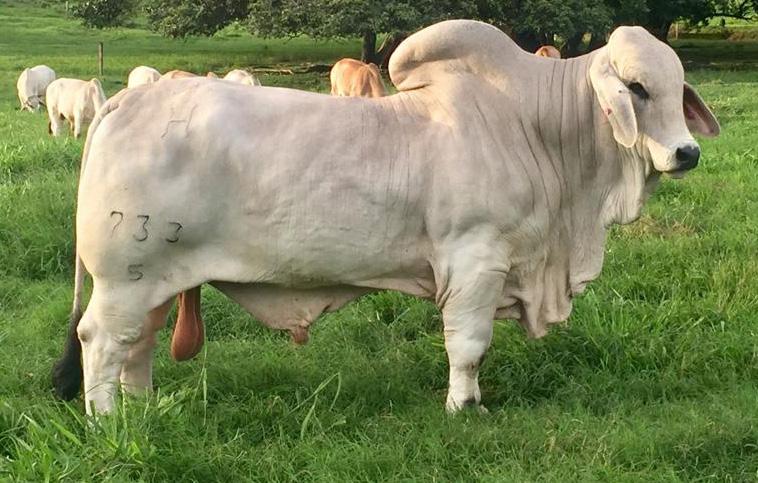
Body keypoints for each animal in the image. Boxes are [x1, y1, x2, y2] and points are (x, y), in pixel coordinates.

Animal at [52, 20, 719, 416]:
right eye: (637, 88)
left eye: (676, 86)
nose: (686, 153)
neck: (534, 127)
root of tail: (122, 100)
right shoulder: (475, 261)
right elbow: (469, 345)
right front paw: (465, 409)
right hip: (125, 276)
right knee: (100, 342)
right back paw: (109, 421)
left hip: (154, 280)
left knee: (136, 345)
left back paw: (141, 410)